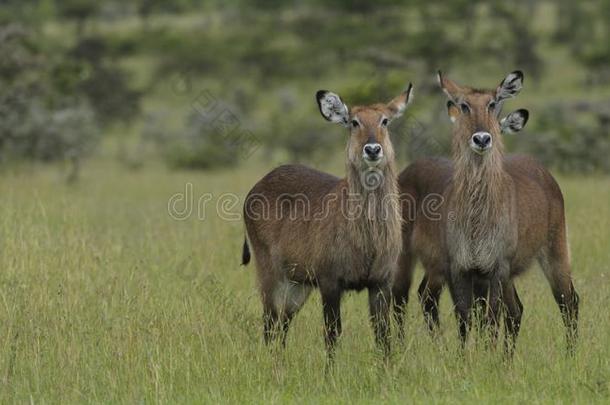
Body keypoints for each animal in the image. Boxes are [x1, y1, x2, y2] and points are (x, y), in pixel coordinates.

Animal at [240, 83, 410, 358]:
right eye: (354, 122)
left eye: (384, 120)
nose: (373, 149)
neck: (367, 240)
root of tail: (257, 186)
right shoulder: (330, 282)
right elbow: (332, 333)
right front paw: (330, 369)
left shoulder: (381, 282)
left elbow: (383, 334)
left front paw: (388, 368)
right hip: (269, 274)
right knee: (269, 322)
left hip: (298, 284)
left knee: (282, 324)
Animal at [392, 72, 576, 354]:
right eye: (464, 105)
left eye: (491, 104)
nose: (482, 138)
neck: (477, 219)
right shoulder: (460, 267)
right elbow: (466, 317)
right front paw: (465, 357)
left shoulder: (496, 268)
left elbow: (490, 317)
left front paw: (486, 356)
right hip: (408, 256)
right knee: (404, 298)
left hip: (555, 250)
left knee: (567, 301)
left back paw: (570, 354)